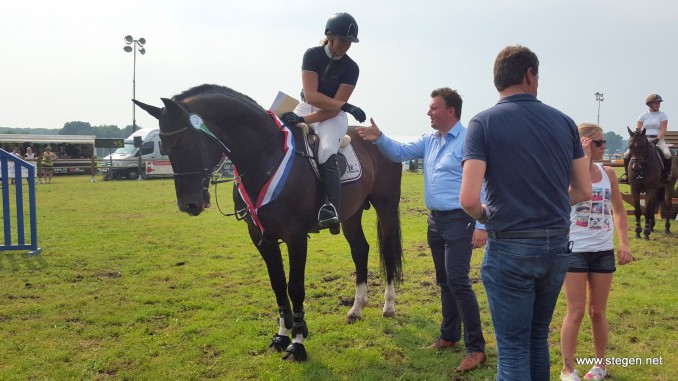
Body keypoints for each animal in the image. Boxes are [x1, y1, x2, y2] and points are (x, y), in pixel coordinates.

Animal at [135, 84, 406, 360]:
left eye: (185, 141)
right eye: (165, 146)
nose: (188, 205)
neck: (266, 157)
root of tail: (381, 139)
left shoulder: (296, 237)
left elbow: (295, 286)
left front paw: (297, 343)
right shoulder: (261, 236)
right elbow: (277, 283)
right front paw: (282, 336)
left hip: (385, 206)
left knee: (387, 251)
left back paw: (388, 306)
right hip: (351, 214)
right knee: (360, 250)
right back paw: (356, 309)